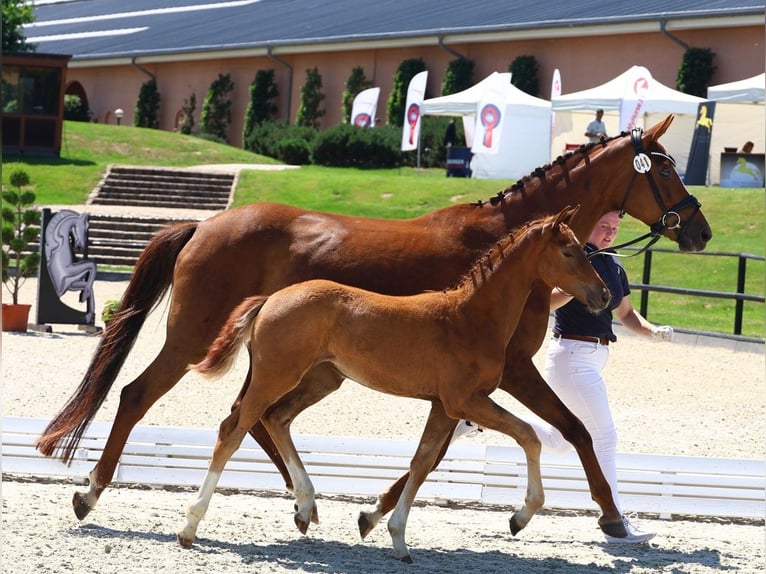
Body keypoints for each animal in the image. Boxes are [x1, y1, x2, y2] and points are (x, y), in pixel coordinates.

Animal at [177, 208, 608, 564]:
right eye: (569, 251)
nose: (602, 294)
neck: (469, 317)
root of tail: (269, 300)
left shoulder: (443, 406)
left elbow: (422, 462)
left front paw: (396, 538)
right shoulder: (466, 401)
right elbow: (528, 436)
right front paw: (520, 516)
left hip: (321, 379)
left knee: (276, 419)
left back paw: (304, 505)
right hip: (276, 376)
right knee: (233, 430)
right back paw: (190, 526)